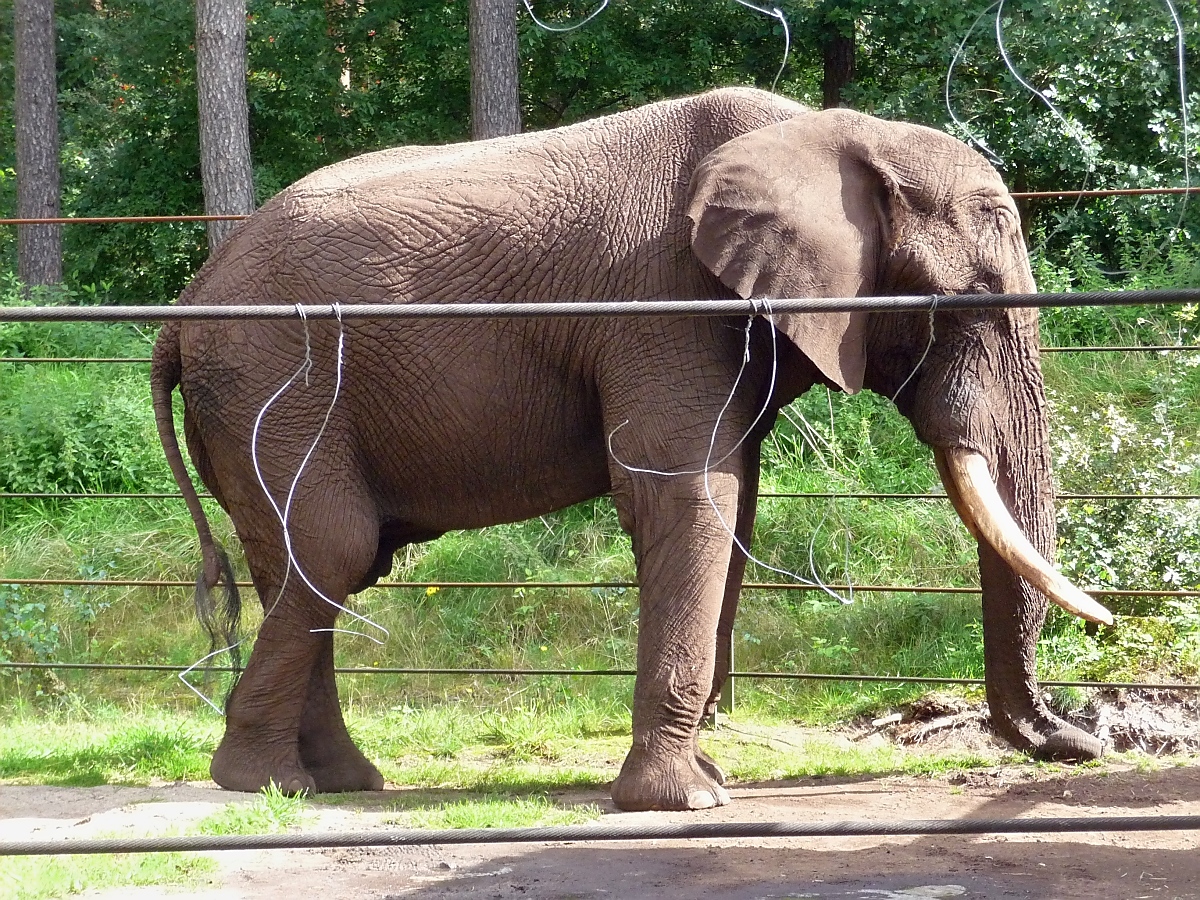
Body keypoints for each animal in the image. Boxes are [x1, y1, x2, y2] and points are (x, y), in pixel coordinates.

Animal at [152, 88, 1113, 816]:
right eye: (972, 302)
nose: (1084, 743)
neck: (827, 132)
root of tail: (186, 303)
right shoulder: (664, 305)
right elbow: (689, 497)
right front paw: (690, 799)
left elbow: (733, 505)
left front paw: (705, 779)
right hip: (276, 382)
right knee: (332, 548)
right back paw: (264, 784)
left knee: (306, 564)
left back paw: (338, 783)